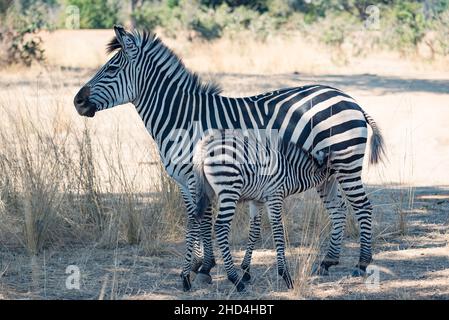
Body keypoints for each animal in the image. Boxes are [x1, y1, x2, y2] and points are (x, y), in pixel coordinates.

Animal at [192, 129, 328, 292]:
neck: (290, 172)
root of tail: (206, 146)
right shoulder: (274, 196)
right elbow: (278, 231)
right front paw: (285, 275)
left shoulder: (257, 200)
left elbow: (254, 231)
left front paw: (246, 270)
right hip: (229, 190)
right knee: (220, 227)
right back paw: (235, 280)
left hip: (204, 190)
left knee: (194, 220)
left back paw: (188, 277)